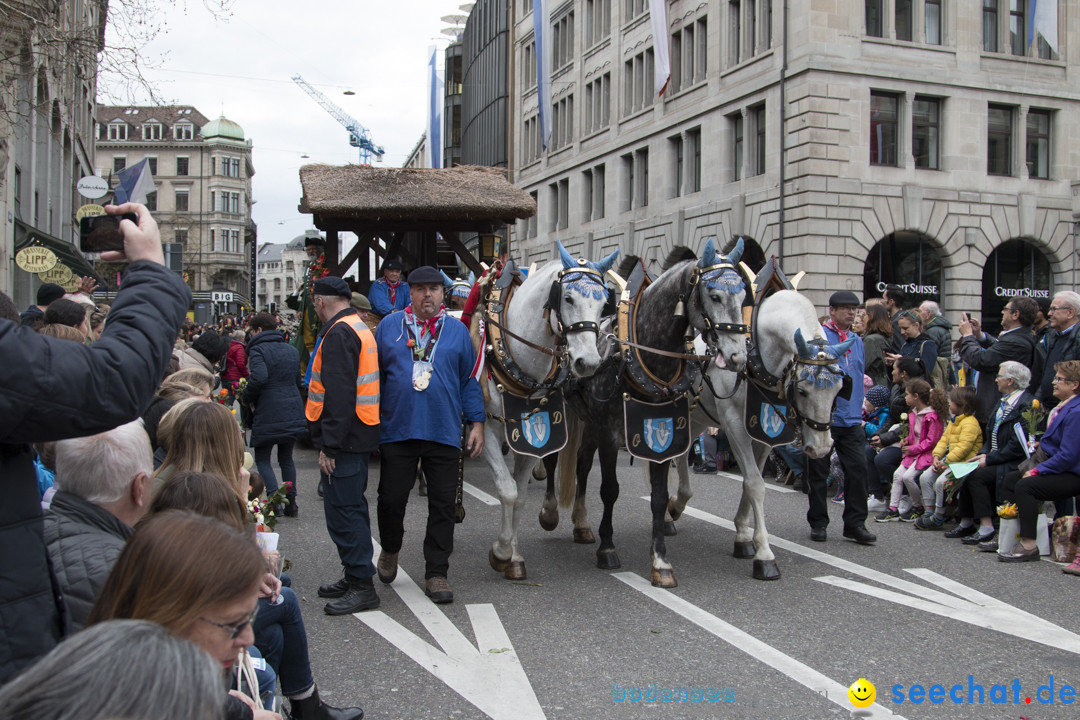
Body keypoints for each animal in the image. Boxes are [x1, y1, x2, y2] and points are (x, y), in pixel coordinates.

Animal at [479, 241, 617, 578]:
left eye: (603, 305)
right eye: (567, 298)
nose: (588, 363)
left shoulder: (527, 436)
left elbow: (520, 496)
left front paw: (513, 557)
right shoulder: (486, 430)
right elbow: (507, 490)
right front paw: (501, 551)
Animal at [665, 291, 851, 578]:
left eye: (839, 389)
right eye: (803, 390)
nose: (820, 448)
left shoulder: (764, 430)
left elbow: (750, 481)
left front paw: (743, 536)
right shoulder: (733, 423)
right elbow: (755, 483)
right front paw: (764, 554)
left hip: (697, 417)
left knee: (682, 455)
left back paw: (676, 503)